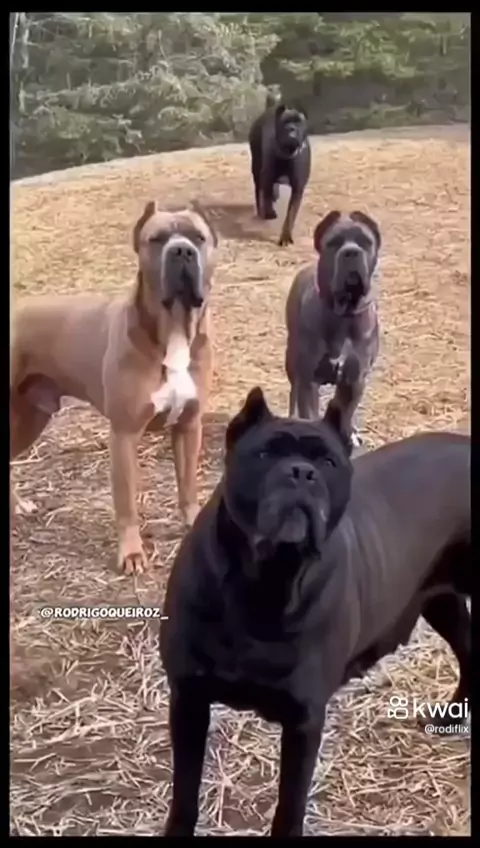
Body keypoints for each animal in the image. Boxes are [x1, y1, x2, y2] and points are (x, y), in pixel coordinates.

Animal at [10, 201, 218, 575]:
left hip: (30, 418)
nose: (182, 251)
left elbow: (188, 486)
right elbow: (126, 505)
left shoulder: (188, 426)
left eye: (198, 237)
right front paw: (132, 553)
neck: (173, 330)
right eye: (157, 239)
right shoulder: (124, 434)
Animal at [160, 376, 470, 836]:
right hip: (441, 599)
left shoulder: (303, 720)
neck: (265, 583)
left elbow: (289, 805)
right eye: (264, 454)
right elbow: (185, 792)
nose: (300, 472)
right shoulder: (189, 698)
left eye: (327, 462)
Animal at [249, 99, 311, 246]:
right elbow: (266, 197)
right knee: (259, 191)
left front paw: (286, 236)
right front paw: (268, 211)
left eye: (299, 122)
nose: (291, 129)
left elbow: (290, 215)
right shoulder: (266, 177)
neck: (287, 154)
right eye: (285, 122)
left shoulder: (298, 189)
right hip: (256, 168)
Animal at [285, 209, 381, 447]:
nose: (351, 252)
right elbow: (309, 412)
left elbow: (345, 410)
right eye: (334, 243)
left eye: (365, 242)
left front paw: (348, 433)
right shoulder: (308, 380)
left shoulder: (354, 380)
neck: (343, 314)